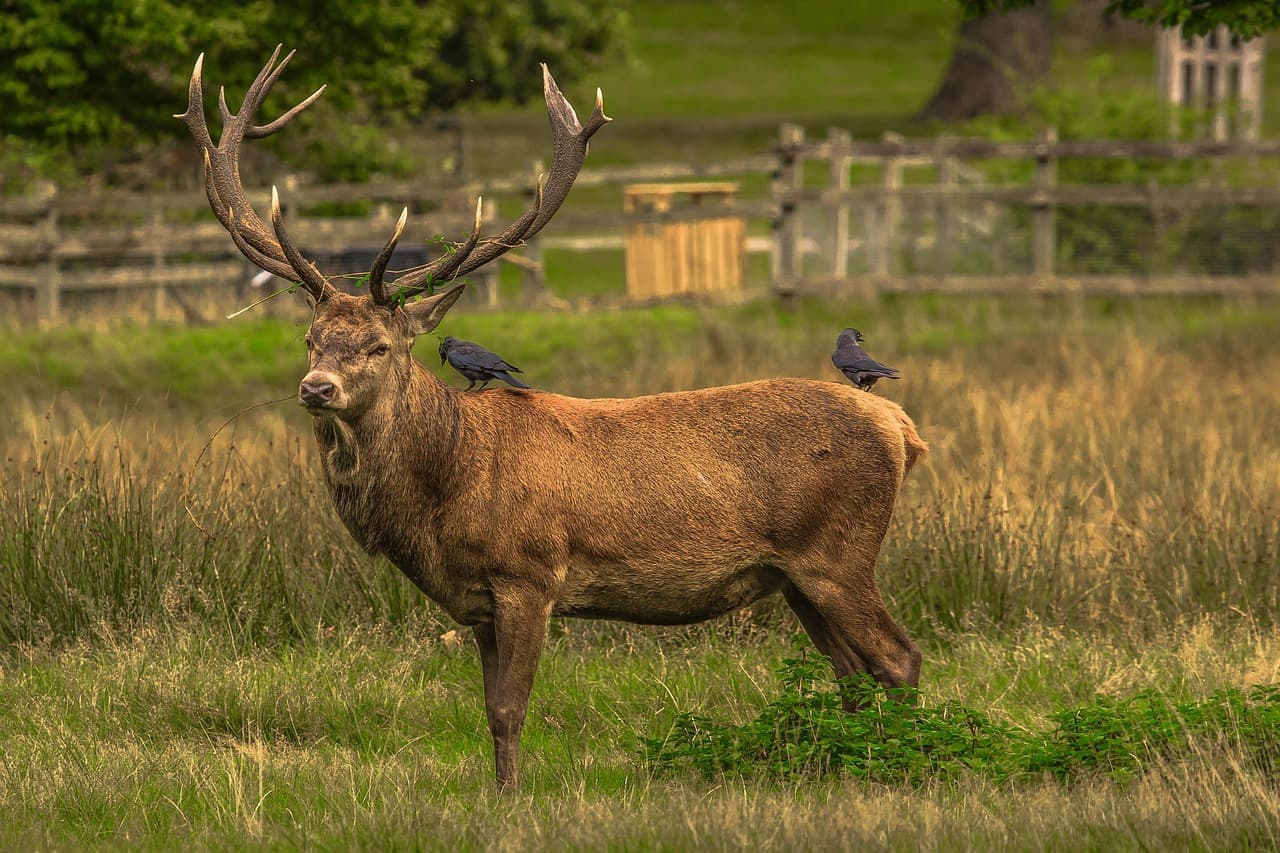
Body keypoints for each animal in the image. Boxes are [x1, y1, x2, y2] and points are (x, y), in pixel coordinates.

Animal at [177, 46, 929, 788]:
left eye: (379, 345)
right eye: (310, 339)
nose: (317, 387)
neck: (447, 489)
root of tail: (900, 428)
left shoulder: (529, 574)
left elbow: (511, 706)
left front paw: (512, 798)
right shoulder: (478, 602)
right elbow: (487, 708)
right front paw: (496, 789)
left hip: (839, 551)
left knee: (899, 658)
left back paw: (905, 764)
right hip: (796, 575)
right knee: (853, 671)